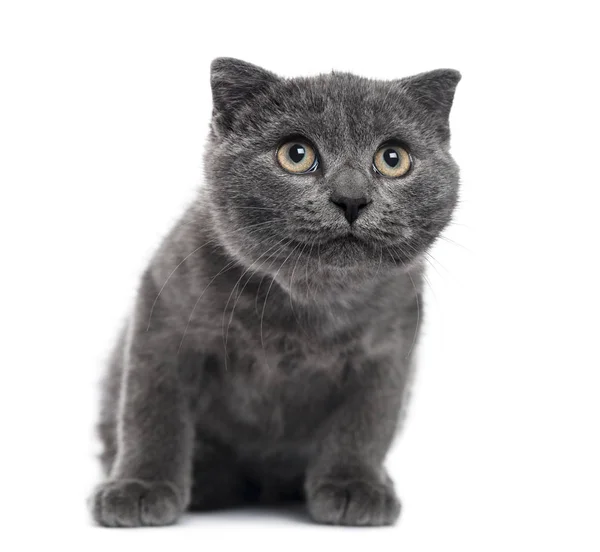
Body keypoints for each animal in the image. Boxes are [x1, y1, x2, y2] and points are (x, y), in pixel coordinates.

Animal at [91, 58, 462, 528]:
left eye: (393, 158)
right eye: (296, 154)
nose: (352, 198)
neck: (309, 302)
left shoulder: (389, 349)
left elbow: (365, 424)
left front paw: (353, 486)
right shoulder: (163, 318)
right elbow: (152, 410)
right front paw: (141, 487)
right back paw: (208, 484)